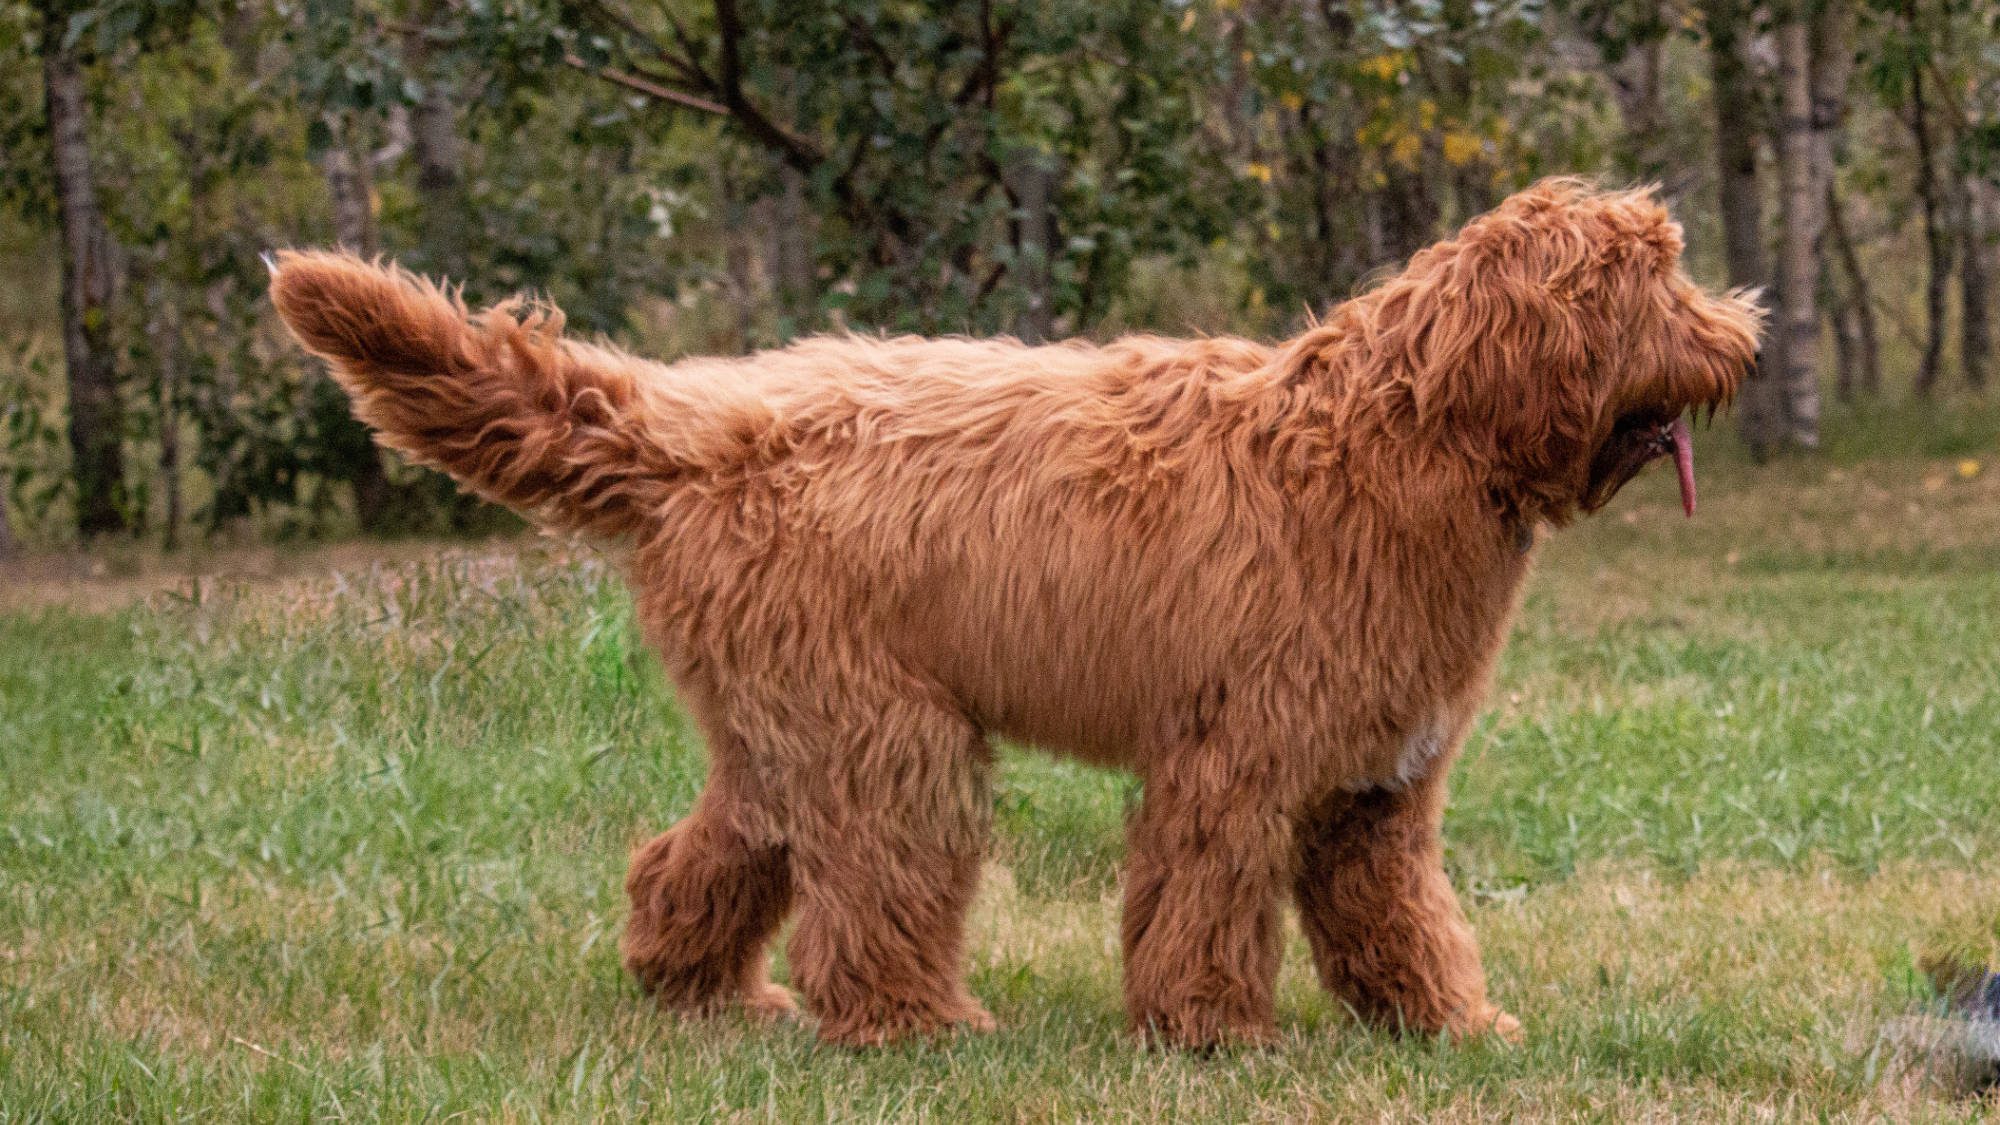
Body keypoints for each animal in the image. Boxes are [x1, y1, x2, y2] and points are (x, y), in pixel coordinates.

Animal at [270, 179, 1768, 1048]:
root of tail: (701, 427)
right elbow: (1206, 899)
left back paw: (699, 988)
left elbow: (1393, 912)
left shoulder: (1374, 784)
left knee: (701, 855)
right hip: (887, 734)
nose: (1746, 338)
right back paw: (914, 1024)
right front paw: (1216, 1036)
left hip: (780, 724)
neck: (1400, 436)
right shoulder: (1239, 757)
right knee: (874, 886)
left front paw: (1447, 1026)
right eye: (1656, 281)